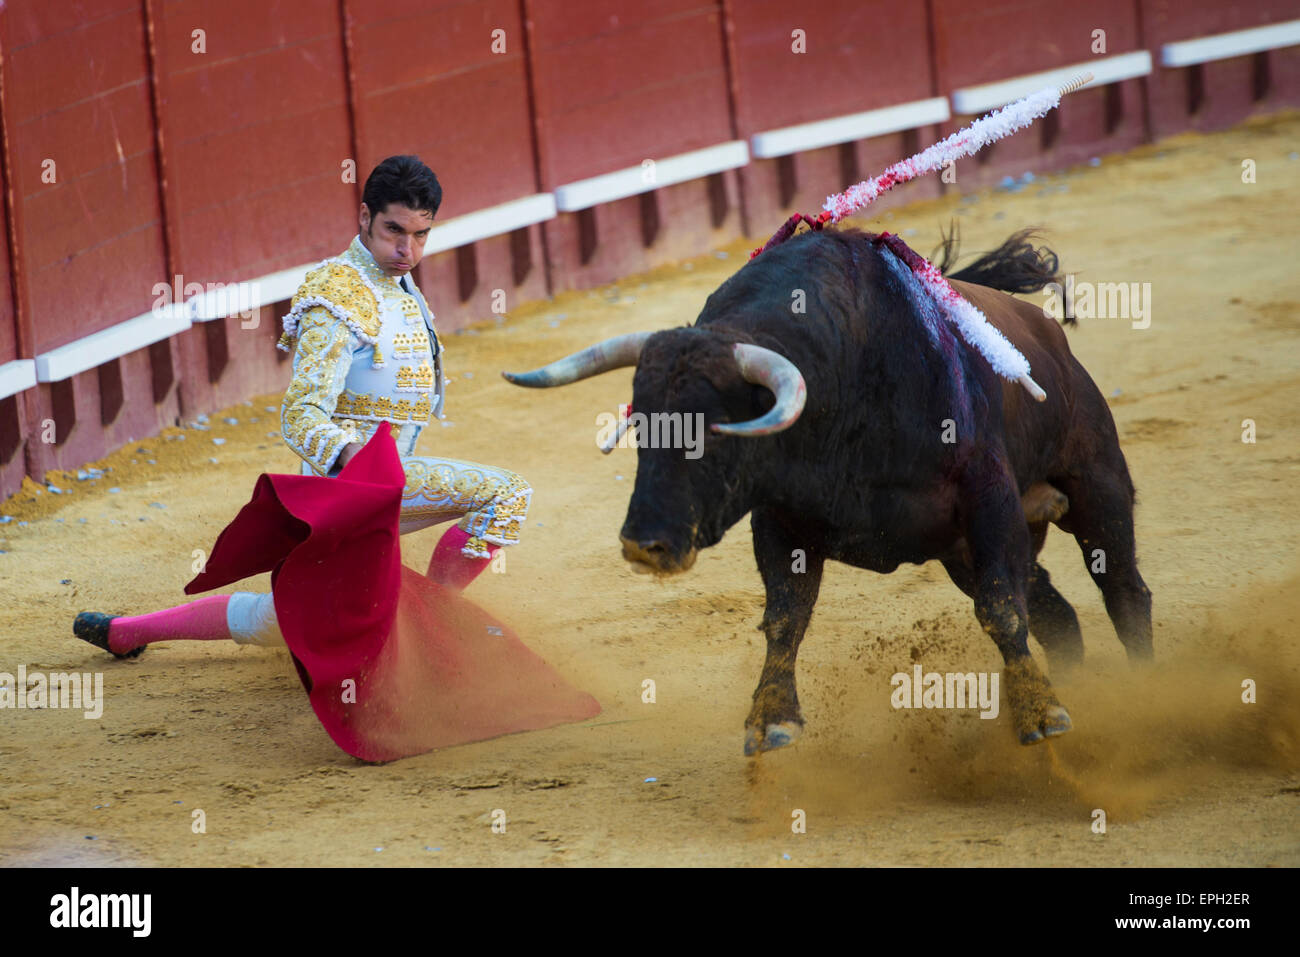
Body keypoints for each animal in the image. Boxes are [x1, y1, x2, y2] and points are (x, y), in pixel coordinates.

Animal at [501, 226, 1154, 754]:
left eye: (713, 431)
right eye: (641, 425)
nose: (644, 545)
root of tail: (1047, 335)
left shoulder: (986, 496)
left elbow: (1001, 609)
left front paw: (1040, 715)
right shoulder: (780, 520)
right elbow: (785, 618)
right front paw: (771, 720)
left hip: (1093, 483)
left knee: (1122, 589)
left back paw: (1143, 688)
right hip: (965, 550)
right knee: (1054, 610)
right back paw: (1080, 685)